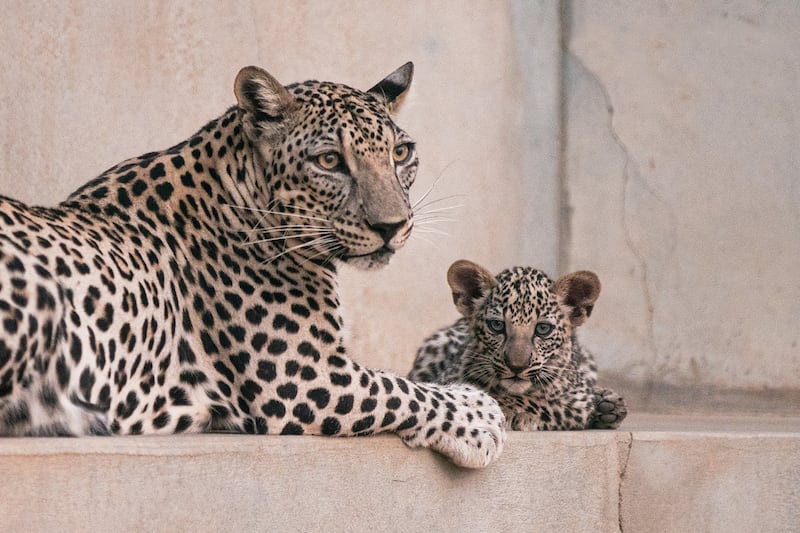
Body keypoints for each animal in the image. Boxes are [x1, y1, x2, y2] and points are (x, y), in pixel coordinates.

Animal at [0, 64, 504, 468]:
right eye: (329, 160)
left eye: (401, 154)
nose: (391, 225)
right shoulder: (303, 377)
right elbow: (402, 390)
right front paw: (482, 418)